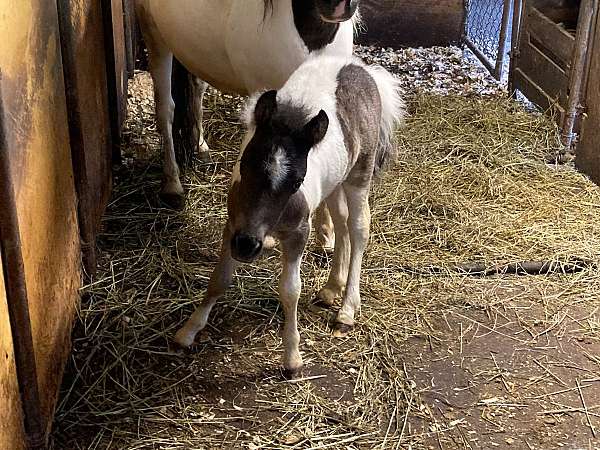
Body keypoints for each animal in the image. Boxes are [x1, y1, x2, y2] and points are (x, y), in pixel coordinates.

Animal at [135, 0, 358, 246]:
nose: (341, 7)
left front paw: (326, 232)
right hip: (153, 35)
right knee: (165, 109)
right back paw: (172, 188)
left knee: (197, 88)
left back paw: (201, 148)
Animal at [176, 54, 406, 374]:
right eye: (244, 165)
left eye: (297, 182)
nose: (247, 246)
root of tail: (362, 68)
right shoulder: (233, 224)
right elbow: (219, 278)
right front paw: (188, 331)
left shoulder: (299, 232)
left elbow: (290, 289)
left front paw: (292, 358)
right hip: (335, 181)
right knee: (341, 222)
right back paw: (331, 288)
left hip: (359, 173)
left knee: (359, 227)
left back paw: (347, 309)